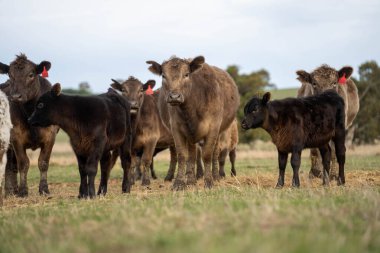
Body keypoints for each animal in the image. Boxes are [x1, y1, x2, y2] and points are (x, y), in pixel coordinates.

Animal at [0, 54, 59, 197]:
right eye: (10, 75)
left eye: (31, 74)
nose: (16, 96)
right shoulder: (16, 138)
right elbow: (23, 164)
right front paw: (23, 191)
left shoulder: (50, 137)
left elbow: (43, 162)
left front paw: (44, 189)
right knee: (11, 165)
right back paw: (11, 191)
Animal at [146, 55, 239, 190]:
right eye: (163, 75)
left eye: (186, 74)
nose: (174, 97)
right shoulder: (176, 129)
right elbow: (182, 156)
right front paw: (179, 183)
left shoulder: (213, 129)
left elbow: (207, 155)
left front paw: (209, 182)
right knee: (192, 155)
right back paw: (191, 181)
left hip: (220, 133)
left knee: (215, 154)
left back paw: (215, 177)